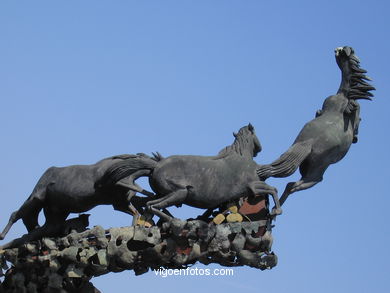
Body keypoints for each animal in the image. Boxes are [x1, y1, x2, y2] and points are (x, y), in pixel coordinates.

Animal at [97, 122, 280, 219]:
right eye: (256, 134)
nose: (260, 149)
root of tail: (156, 166)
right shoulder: (252, 187)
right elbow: (273, 189)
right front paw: (276, 210)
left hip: (168, 193)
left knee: (149, 206)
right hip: (180, 192)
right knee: (153, 206)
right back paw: (176, 222)